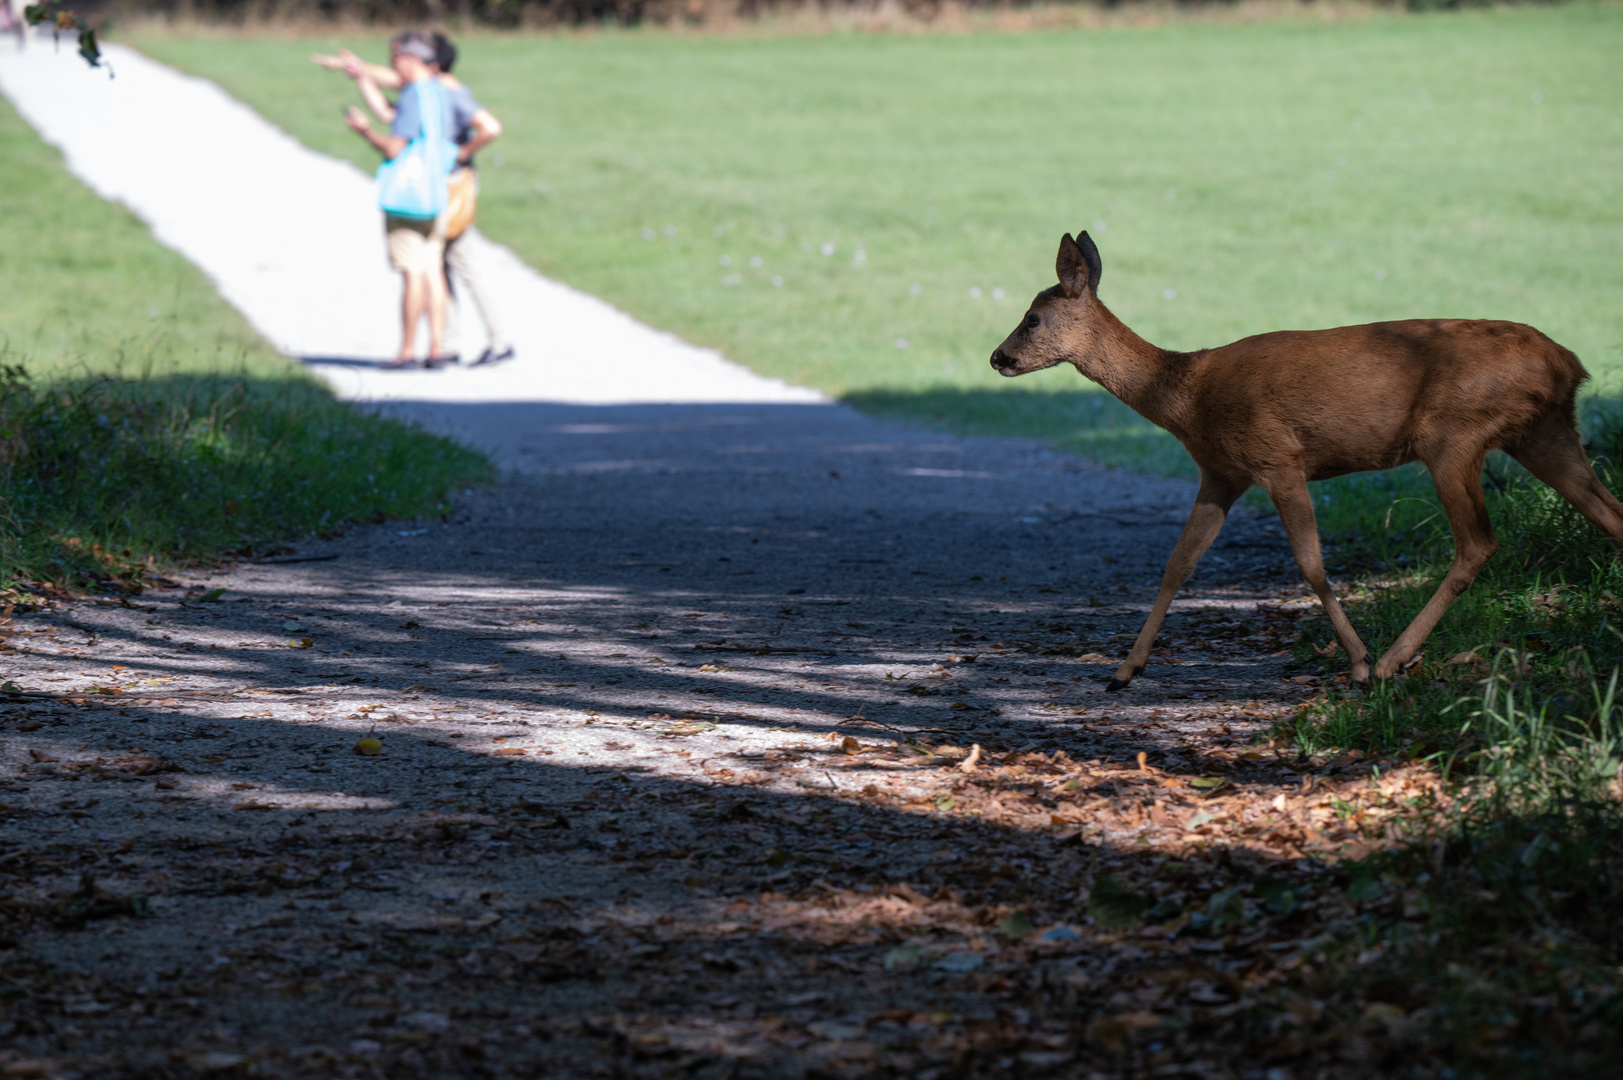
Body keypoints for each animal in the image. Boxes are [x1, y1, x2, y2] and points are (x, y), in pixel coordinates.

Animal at [986, 233, 1623, 691]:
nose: (997, 357)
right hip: (1544, 432)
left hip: (1454, 434)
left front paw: (1359, 662)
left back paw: (1390, 662)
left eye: (1032, 318)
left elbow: (1312, 564)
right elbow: (1177, 564)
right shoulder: (1220, 474)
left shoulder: (1278, 456)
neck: (1187, 395)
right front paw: (1125, 670)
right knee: (1609, 515)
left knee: (1478, 543)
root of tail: (1569, 363)